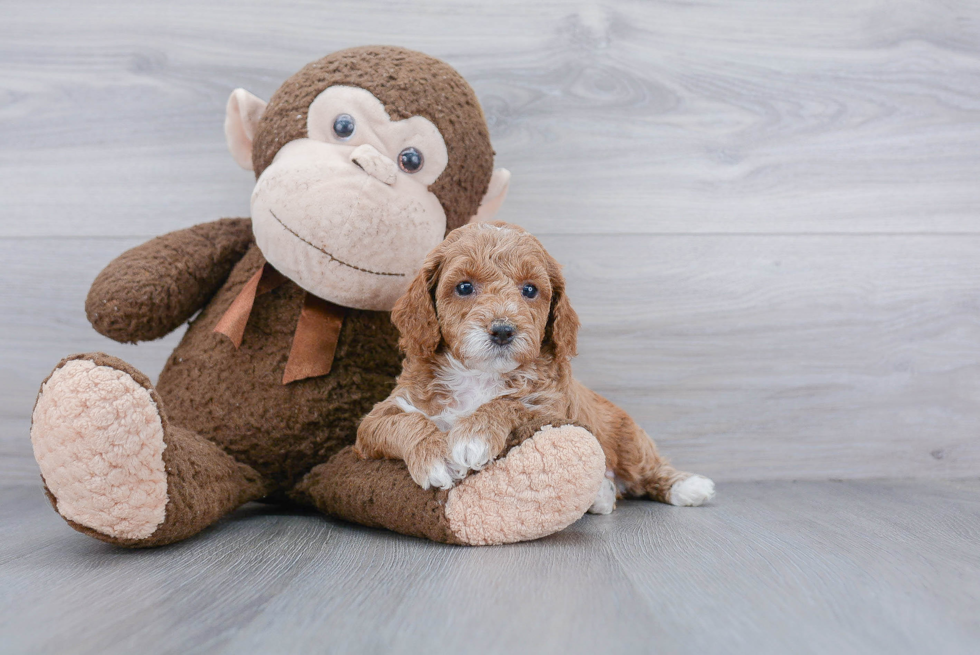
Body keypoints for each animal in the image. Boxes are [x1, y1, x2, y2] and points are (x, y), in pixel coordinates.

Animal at [352, 223, 712, 516]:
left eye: (529, 290)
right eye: (464, 287)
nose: (502, 330)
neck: (479, 376)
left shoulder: (551, 405)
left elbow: (511, 403)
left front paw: (473, 435)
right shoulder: (377, 419)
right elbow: (403, 421)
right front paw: (435, 456)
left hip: (628, 440)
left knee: (650, 470)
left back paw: (688, 487)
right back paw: (602, 495)